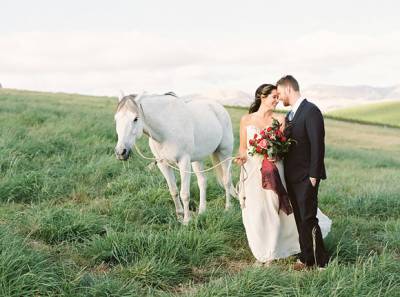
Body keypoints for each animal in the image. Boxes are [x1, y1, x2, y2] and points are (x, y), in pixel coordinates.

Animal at [114, 91, 236, 223]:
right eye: (116, 119)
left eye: (135, 119)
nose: (121, 152)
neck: (166, 129)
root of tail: (219, 107)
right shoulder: (163, 164)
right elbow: (174, 191)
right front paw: (179, 215)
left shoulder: (184, 162)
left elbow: (185, 194)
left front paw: (186, 221)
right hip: (198, 160)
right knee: (202, 181)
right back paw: (202, 212)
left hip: (224, 153)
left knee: (226, 180)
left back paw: (228, 208)